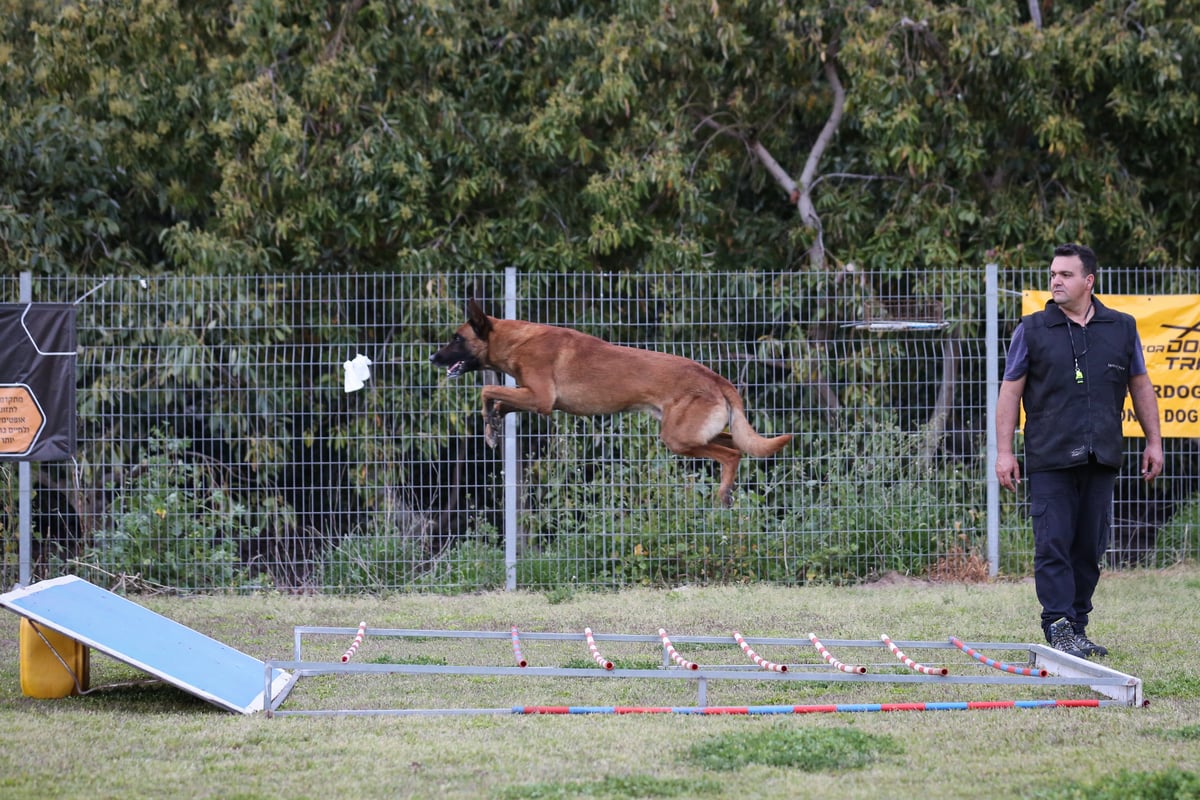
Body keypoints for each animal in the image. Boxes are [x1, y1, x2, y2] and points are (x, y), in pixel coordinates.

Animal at [427, 299, 792, 506]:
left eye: (457, 338)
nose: (432, 358)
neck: (516, 339)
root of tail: (717, 379)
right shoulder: (531, 397)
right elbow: (499, 402)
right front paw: (492, 426)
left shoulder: (540, 399)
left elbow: (487, 392)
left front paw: (490, 425)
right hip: (694, 434)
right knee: (737, 443)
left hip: (677, 438)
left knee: (732, 454)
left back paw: (724, 493)